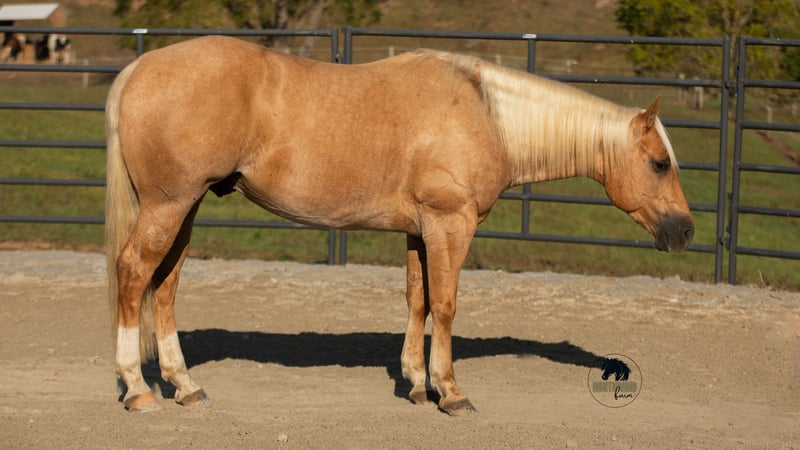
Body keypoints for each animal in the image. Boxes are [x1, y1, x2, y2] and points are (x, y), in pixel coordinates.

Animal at [105, 36, 694, 415]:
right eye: (659, 164)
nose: (685, 232)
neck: (488, 116)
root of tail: (139, 68)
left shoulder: (419, 230)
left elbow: (418, 300)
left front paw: (415, 383)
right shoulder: (450, 225)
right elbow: (446, 304)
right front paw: (450, 391)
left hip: (184, 208)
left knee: (165, 285)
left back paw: (185, 386)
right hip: (169, 205)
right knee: (134, 273)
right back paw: (138, 389)